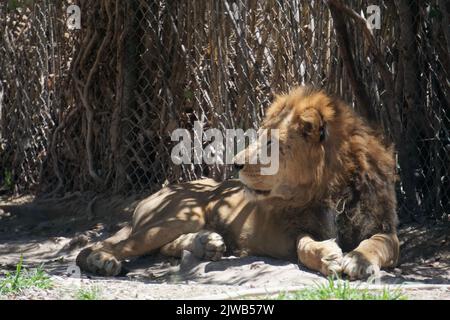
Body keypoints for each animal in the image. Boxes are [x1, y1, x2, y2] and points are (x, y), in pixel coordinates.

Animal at [75, 86, 400, 278]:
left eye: (271, 144)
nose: (235, 163)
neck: (331, 190)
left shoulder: (385, 228)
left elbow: (378, 244)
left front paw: (358, 261)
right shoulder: (290, 231)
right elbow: (305, 246)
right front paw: (329, 256)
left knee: (163, 247)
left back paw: (207, 244)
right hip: (178, 215)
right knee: (113, 245)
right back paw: (101, 261)